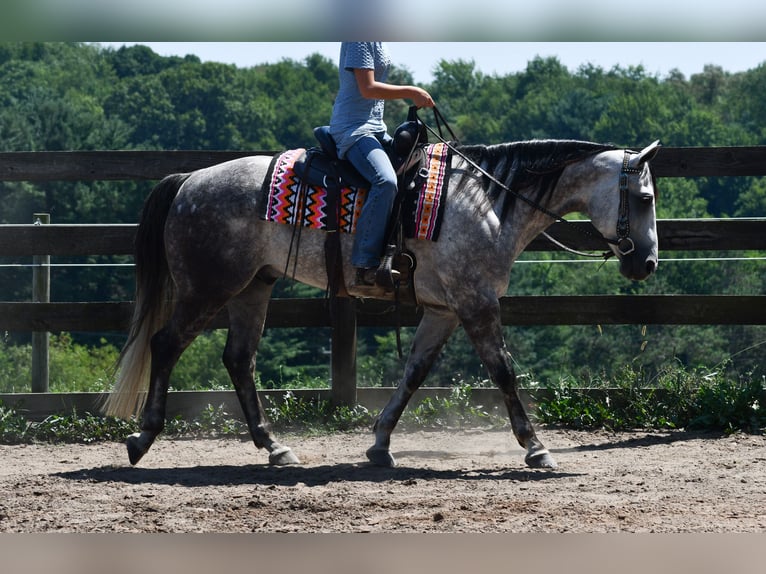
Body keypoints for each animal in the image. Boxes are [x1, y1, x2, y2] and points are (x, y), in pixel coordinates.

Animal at [104, 135, 661, 470]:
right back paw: (142, 438)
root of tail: (189, 182)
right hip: (208, 287)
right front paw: (537, 448)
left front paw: (379, 444)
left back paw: (275, 447)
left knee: (239, 359)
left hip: (253, 288)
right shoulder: (476, 302)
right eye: (645, 198)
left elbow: (414, 372)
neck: (488, 201)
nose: (648, 263)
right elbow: (503, 370)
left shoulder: (443, 310)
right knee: (166, 343)